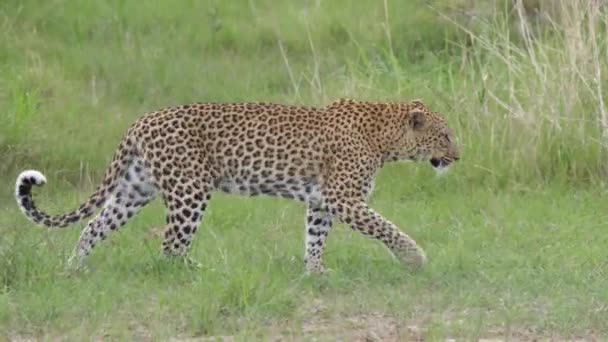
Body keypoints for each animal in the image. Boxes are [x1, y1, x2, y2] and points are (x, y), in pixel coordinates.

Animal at [14, 97, 458, 274]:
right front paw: (415, 258)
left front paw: (315, 272)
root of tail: (140, 121)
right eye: (446, 136)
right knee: (171, 246)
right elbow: (387, 228)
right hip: (190, 190)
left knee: (94, 226)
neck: (387, 137)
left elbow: (316, 237)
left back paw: (75, 269)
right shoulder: (344, 198)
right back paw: (197, 272)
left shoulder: (322, 201)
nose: (458, 157)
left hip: (135, 190)